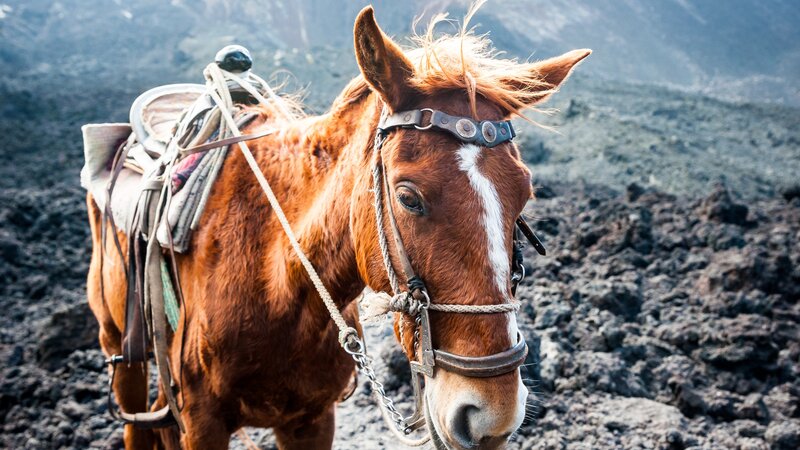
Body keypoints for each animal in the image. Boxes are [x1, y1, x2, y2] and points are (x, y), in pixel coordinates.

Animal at [86, 4, 588, 450]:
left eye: (523, 195)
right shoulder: (202, 423)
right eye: (408, 197)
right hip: (120, 347)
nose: (492, 415)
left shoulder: (312, 420)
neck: (279, 282)